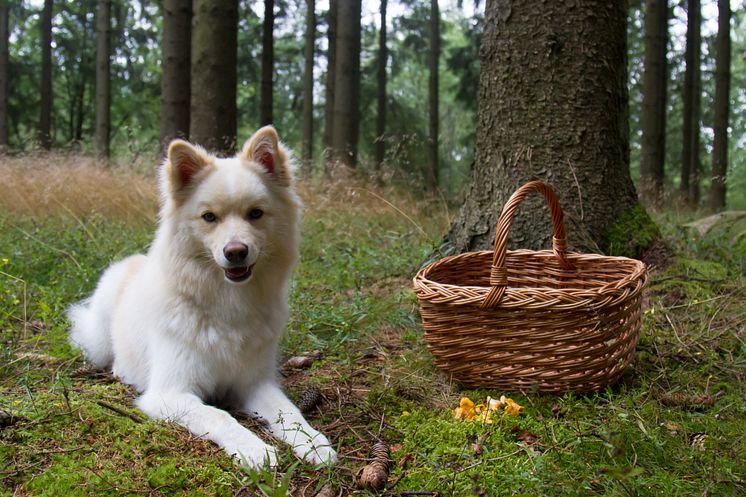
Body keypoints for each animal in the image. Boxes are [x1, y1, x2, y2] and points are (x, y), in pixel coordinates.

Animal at [68, 126, 336, 466]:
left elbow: (288, 412)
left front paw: (313, 443)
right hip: (100, 338)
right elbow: (220, 417)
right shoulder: (171, 393)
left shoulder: (255, 383)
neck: (226, 305)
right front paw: (254, 448)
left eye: (256, 214)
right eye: (209, 217)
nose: (236, 252)